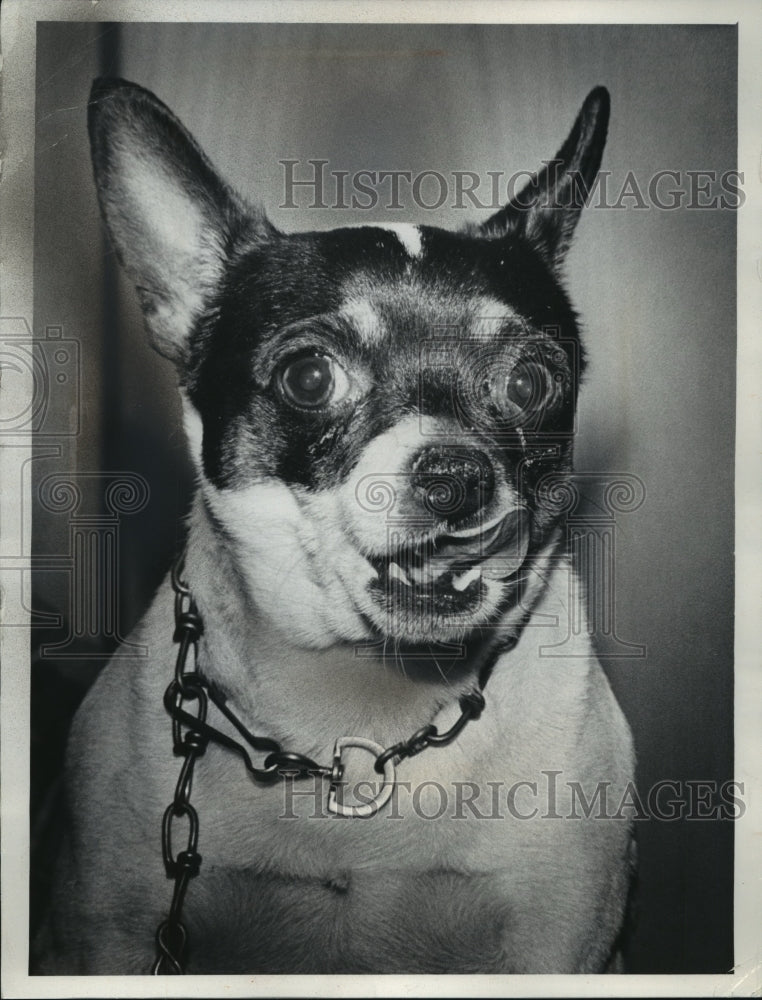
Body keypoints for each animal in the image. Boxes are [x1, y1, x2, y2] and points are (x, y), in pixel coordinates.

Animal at [32, 80, 632, 976]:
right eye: (309, 378)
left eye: (534, 383)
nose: (458, 476)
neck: (361, 712)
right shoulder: (110, 937)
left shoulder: (554, 944)